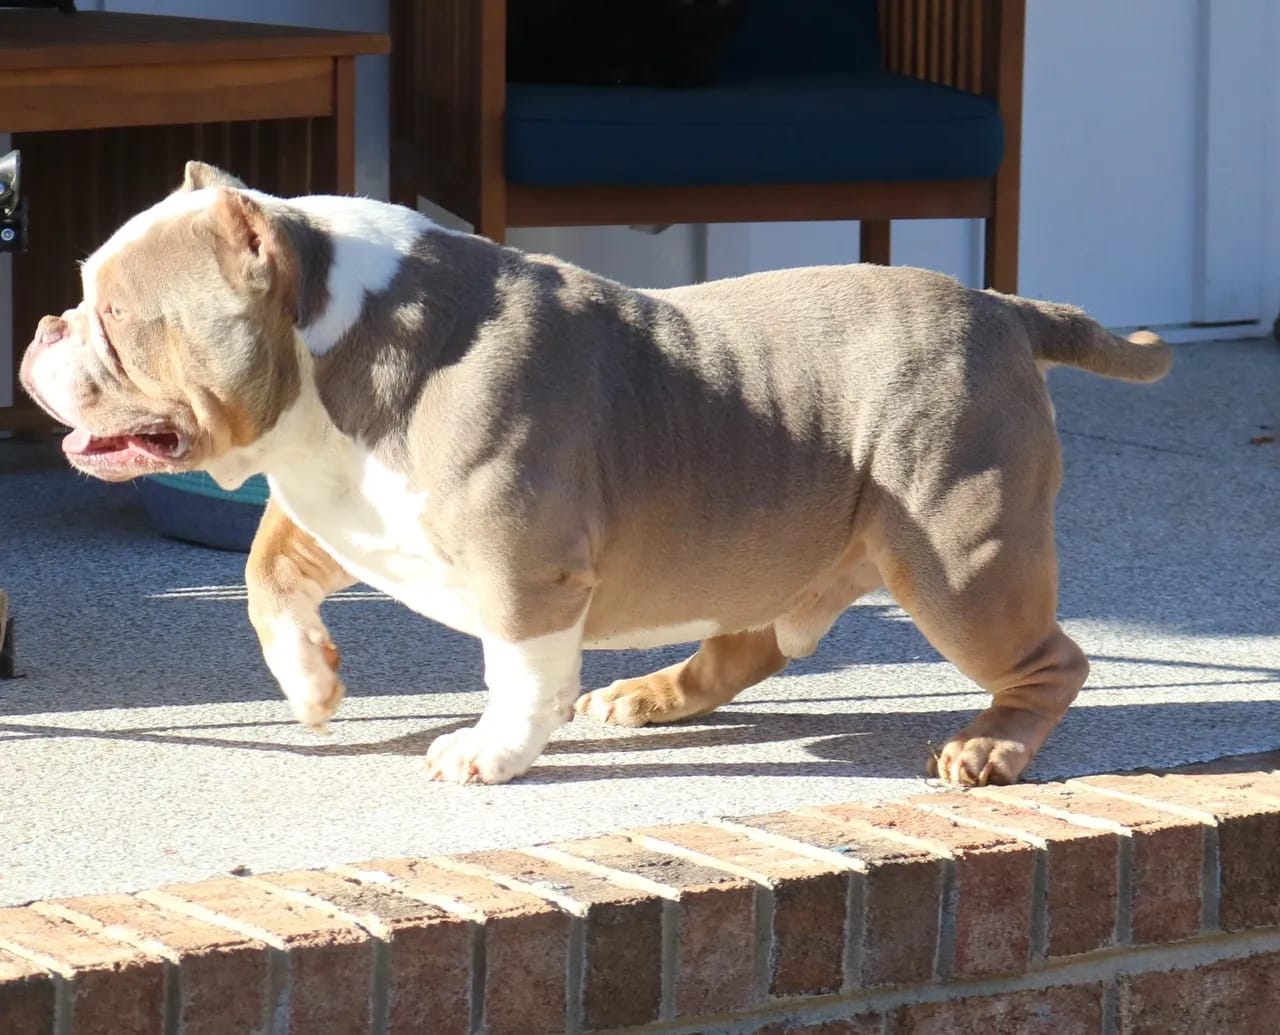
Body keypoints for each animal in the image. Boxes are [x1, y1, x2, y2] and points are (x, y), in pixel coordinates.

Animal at [15, 163, 1172, 782]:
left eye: (114, 317)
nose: (39, 327)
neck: (329, 350)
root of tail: (1004, 307)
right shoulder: (345, 512)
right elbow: (263, 578)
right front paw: (310, 686)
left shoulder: (524, 573)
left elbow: (517, 672)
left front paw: (490, 751)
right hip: (782, 545)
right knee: (749, 639)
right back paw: (649, 694)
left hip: (960, 562)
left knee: (1049, 660)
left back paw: (993, 747)